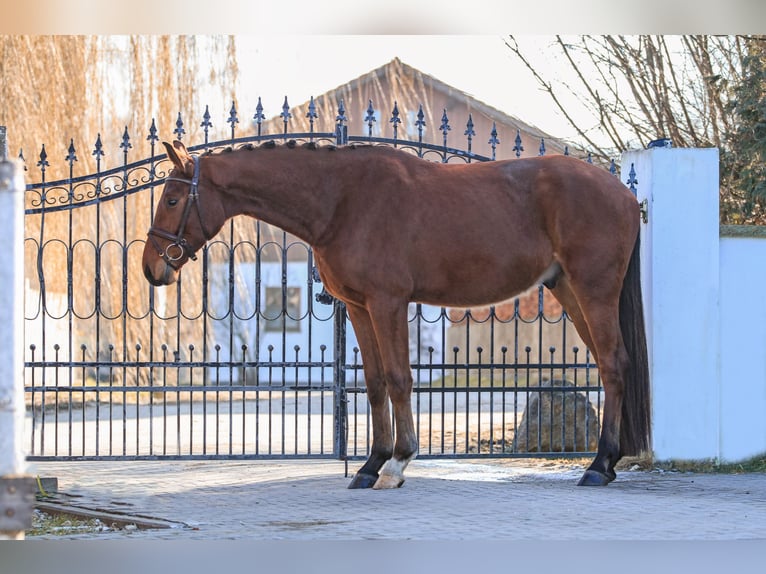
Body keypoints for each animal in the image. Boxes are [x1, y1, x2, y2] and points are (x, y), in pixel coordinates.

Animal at [141, 137, 652, 488]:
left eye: (172, 199)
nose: (151, 268)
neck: (342, 200)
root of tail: (627, 196)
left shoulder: (388, 302)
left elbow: (400, 379)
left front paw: (399, 462)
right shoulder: (359, 307)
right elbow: (374, 383)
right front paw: (370, 464)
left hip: (593, 290)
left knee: (613, 365)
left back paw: (598, 465)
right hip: (568, 289)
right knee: (610, 364)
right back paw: (607, 462)